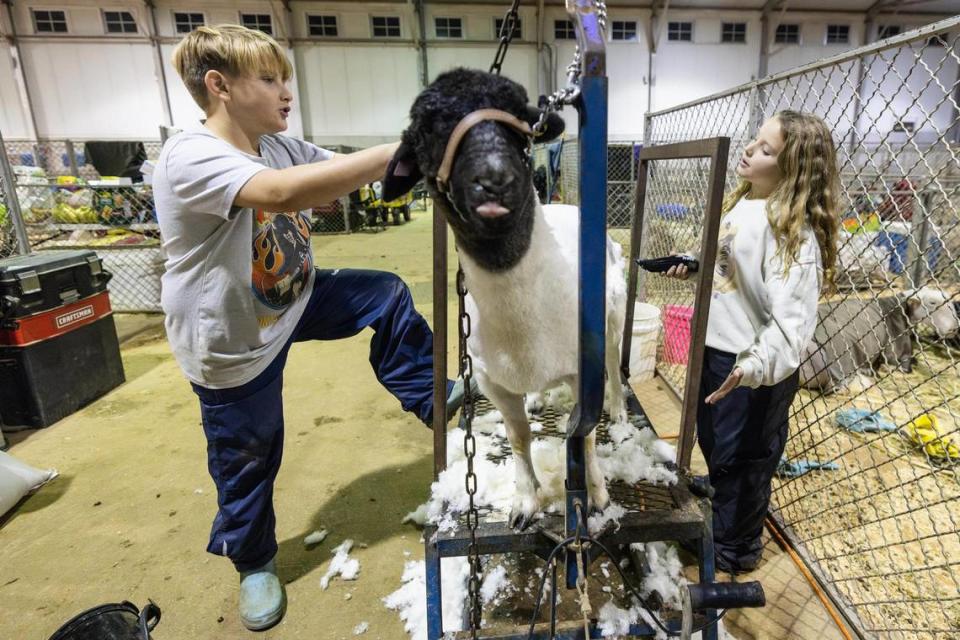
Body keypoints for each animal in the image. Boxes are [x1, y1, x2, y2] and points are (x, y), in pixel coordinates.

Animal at [382, 67, 632, 528]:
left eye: (522, 123)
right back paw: (535, 398)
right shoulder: (490, 381)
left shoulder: (580, 372)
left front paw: (596, 494)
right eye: (427, 129)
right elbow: (518, 438)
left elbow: (584, 433)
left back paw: (619, 409)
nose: (496, 180)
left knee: (611, 361)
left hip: (613, 317)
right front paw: (525, 501)